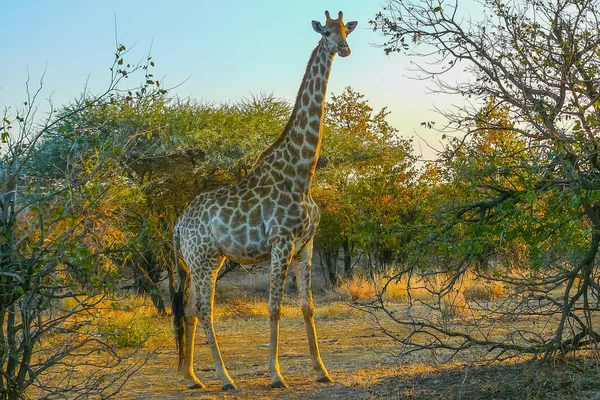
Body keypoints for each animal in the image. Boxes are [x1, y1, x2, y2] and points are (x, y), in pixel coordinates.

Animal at [170, 10, 356, 390]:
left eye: (347, 29)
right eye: (326, 32)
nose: (344, 48)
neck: (302, 174)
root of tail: (179, 224)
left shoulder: (306, 245)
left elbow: (308, 307)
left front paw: (322, 370)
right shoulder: (281, 242)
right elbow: (274, 308)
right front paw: (276, 375)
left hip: (201, 261)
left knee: (190, 309)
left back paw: (193, 376)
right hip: (204, 259)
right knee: (204, 310)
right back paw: (225, 378)